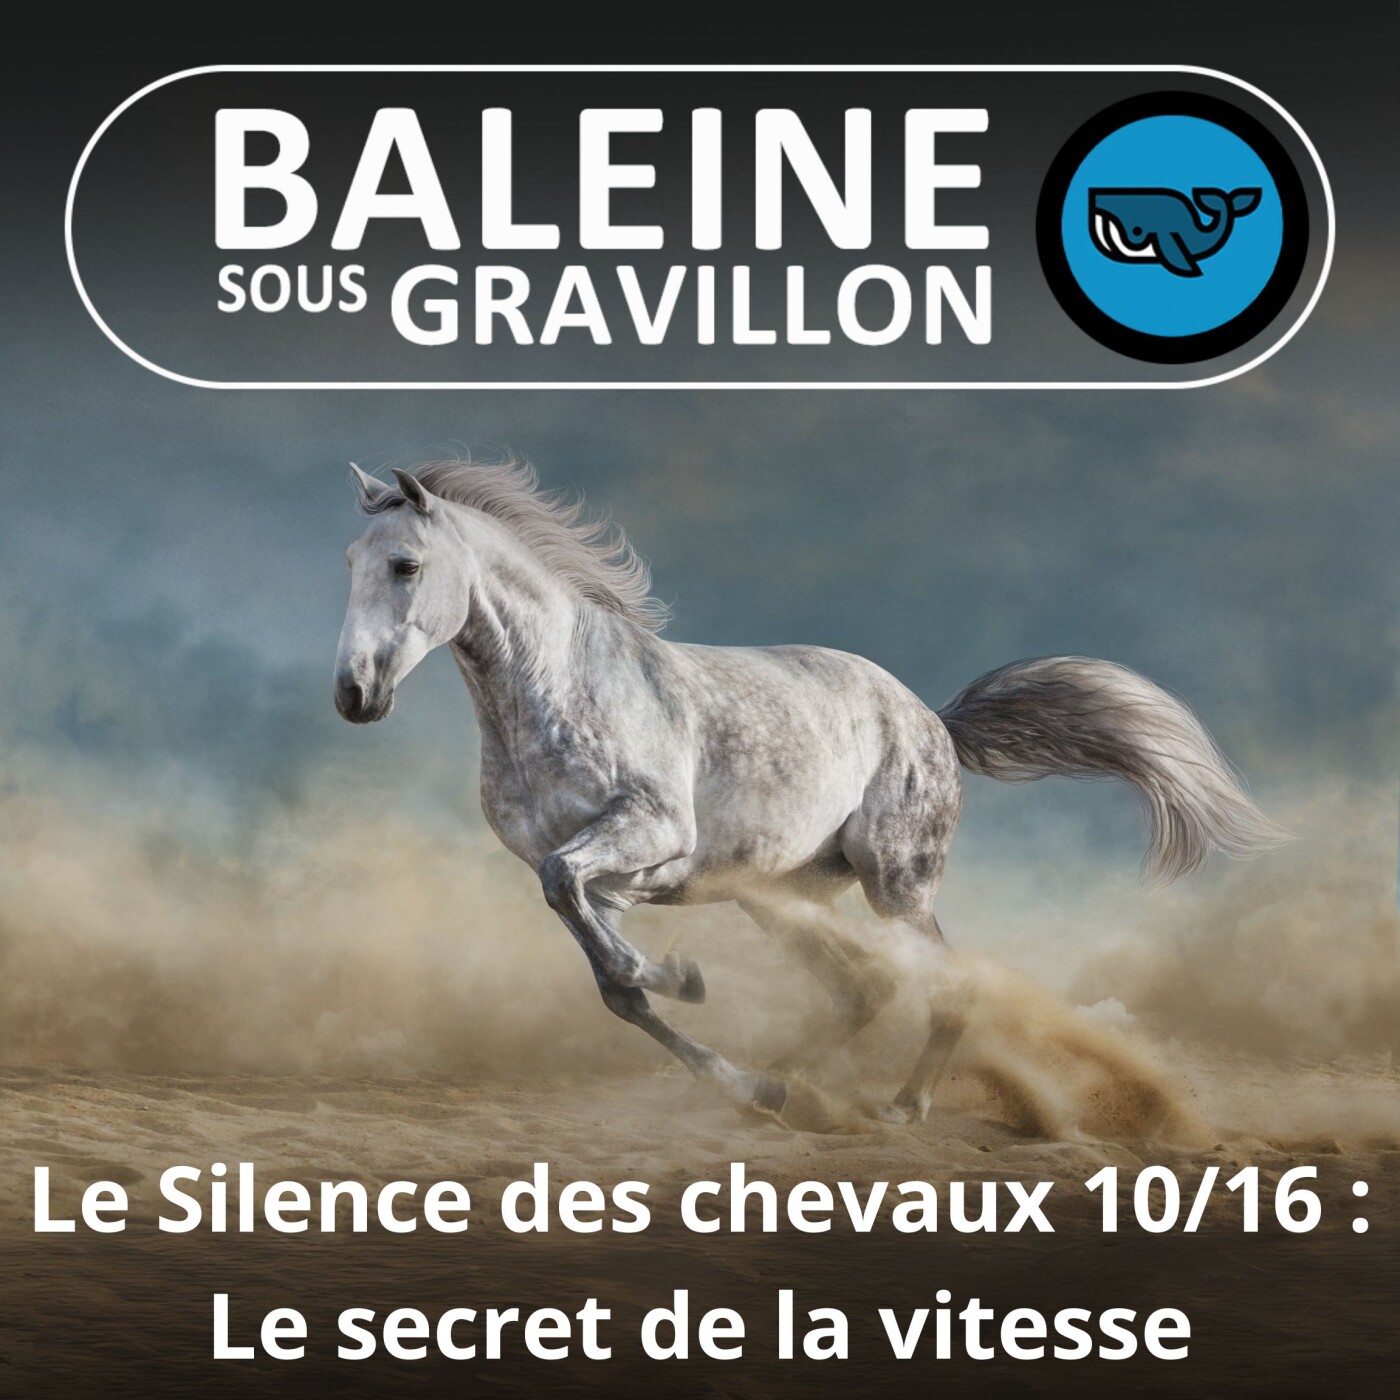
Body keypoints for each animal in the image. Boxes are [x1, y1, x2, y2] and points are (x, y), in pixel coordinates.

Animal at [333, 458, 1283, 1123]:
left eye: (406, 566)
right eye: (350, 562)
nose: (353, 695)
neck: (558, 689)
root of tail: (932, 720)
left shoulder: (648, 836)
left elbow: (587, 913)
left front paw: (680, 977)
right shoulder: (606, 875)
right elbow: (608, 972)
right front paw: (708, 1031)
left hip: (895, 884)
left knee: (946, 982)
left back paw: (903, 1105)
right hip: (779, 895)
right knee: (861, 989)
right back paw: (785, 1085)